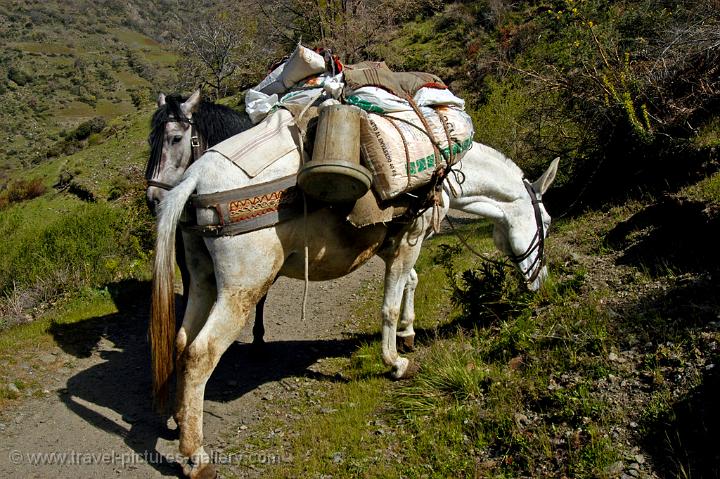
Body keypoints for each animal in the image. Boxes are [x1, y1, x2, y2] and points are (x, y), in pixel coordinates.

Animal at [150, 98, 556, 476]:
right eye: (548, 221)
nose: (541, 282)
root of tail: (195, 177)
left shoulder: (394, 243)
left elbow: (410, 282)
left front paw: (408, 333)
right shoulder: (408, 241)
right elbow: (390, 303)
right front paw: (396, 362)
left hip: (202, 278)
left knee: (182, 341)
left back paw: (178, 419)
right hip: (241, 289)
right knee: (200, 354)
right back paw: (196, 457)